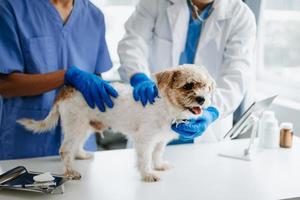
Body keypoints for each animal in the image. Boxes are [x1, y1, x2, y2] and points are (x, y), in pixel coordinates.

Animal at [17, 64, 216, 181]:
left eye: (206, 87)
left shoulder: (160, 140)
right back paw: (71, 172)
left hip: (85, 126)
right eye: (188, 85)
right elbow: (145, 158)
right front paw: (147, 174)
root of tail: (67, 89)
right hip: (76, 125)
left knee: (76, 145)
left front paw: (158, 165)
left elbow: (157, 153)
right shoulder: (144, 140)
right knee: (65, 150)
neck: (168, 107)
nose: (202, 99)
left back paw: (80, 155)